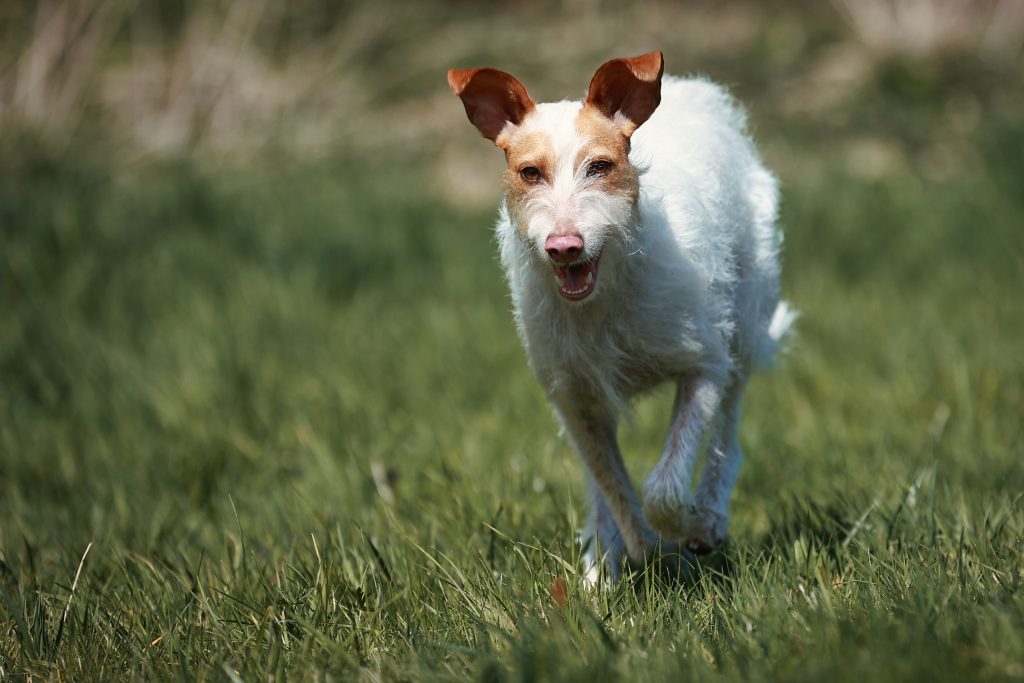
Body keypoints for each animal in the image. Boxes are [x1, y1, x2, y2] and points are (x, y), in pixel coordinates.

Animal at [446, 50, 790, 581]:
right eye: (530, 173)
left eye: (600, 166)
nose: (564, 246)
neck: (604, 295)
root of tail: (696, 90)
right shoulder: (576, 403)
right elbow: (615, 489)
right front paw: (637, 552)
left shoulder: (703, 366)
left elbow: (664, 488)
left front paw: (687, 525)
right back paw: (599, 562)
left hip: (746, 324)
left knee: (728, 432)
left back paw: (709, 514)